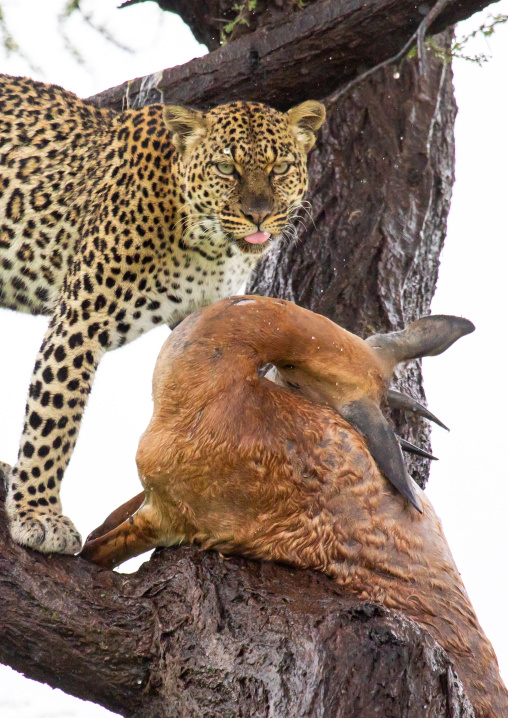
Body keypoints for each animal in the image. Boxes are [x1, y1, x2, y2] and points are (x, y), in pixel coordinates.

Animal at [0, 73, 325, 555]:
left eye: (280, 167)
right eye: (226, 169)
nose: (259, 214)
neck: (207, 247)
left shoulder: (207, 318)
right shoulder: (80, 320)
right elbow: (54, 418)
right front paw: (37, 514)